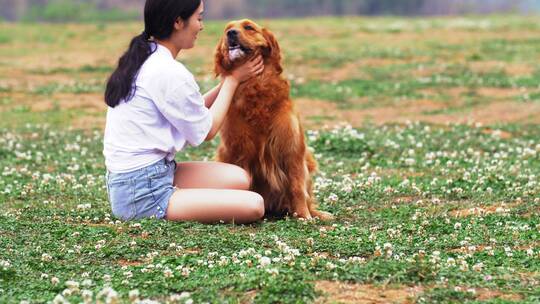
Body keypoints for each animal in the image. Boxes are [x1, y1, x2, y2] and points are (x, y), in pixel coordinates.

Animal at [214, 19, 334, 221]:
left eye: (248, 27)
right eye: (227, 29)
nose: (231, 33)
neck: (255, 90)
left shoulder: (292, 149)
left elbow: (297, 187)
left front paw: (303, 215)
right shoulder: (235, 150)